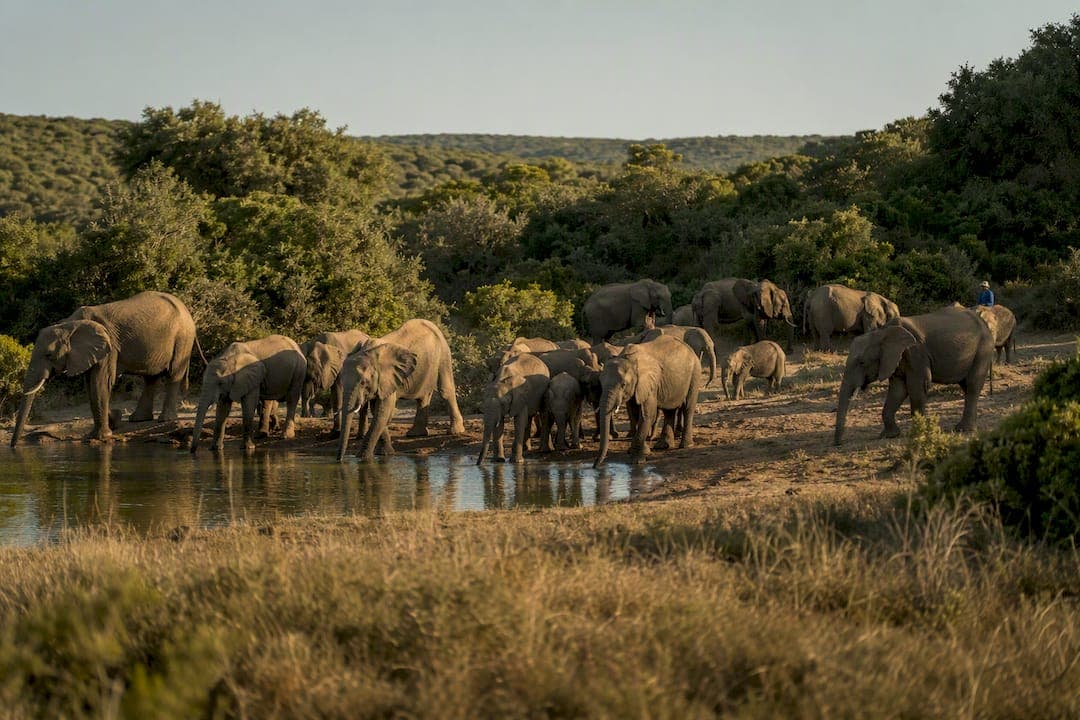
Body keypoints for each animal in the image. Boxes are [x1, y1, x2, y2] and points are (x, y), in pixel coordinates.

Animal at [11, 291, 197, 446]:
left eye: (49, 355)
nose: (13, 447)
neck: (69, 324)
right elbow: (91, 385)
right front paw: (114, 419)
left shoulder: (109, 346)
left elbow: (100, 382)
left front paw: (101, 436)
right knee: (151, 377)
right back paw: (137, 420)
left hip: (183, 337)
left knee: (173, 374)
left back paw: (164, 419)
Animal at [337, 319, 465, 462]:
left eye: (363, 382)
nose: (340, 460)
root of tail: (433, 325)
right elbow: (379, 413)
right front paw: (386, 454)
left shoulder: (387, 379)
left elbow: (383, 412)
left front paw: (363, 458)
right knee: (423, 396)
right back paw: (416, 434)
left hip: (443, 352)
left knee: (445, 390)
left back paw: (455, 431)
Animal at [595, 335, 701, 466]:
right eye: (600, 383)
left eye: (623, 385)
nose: (595, 466)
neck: (629, 359)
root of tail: (690, 349)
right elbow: (636, 413)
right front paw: (643, 451)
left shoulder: (649, 383)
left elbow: (647, 415)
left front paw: (637, 461)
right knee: (669, 411)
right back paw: (663, 446)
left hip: (695, 373)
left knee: (688, 408)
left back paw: (686, 446)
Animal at [833, 308, 994, 445]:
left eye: (862, 362)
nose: (839, 444)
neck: (883, 332)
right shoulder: (895, 359)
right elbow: (897, 391)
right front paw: (889, 435)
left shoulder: (916, 353)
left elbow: (916, 386)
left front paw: (919, 433)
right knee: (966, 385)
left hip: (983, 349)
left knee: (972, 384)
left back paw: (963, 429)